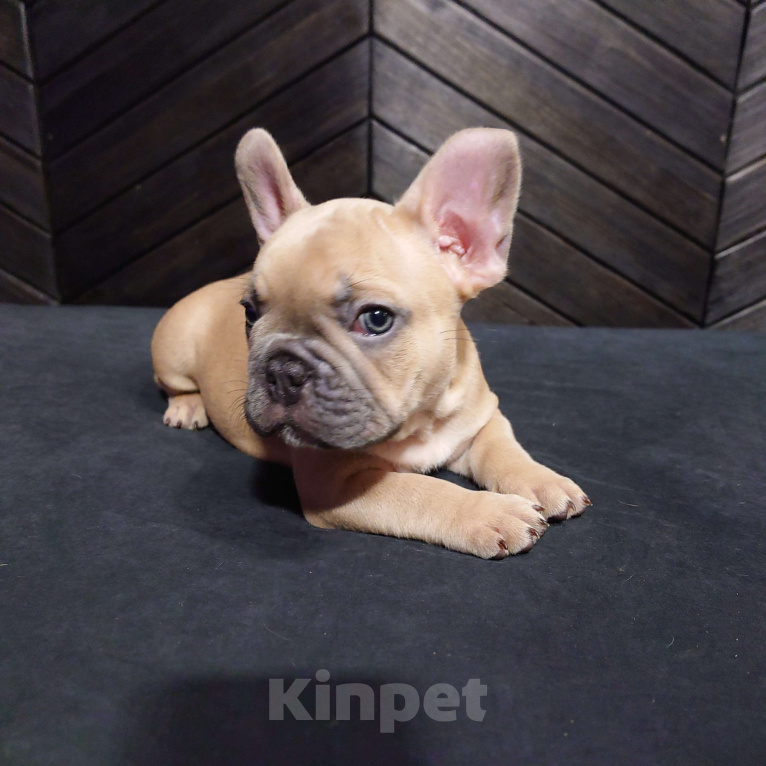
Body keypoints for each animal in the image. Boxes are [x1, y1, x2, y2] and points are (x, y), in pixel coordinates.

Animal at [151, 127, 590, 559]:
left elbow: (502, 449)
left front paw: (543, 481)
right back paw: (188, 406)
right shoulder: (335, 483)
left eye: (376, 319)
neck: (421, 422)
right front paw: (490, 512)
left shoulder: (483, 419)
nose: (282, 371)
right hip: (173, 347)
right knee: (172, 384)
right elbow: (422, 491)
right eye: (249, 314)